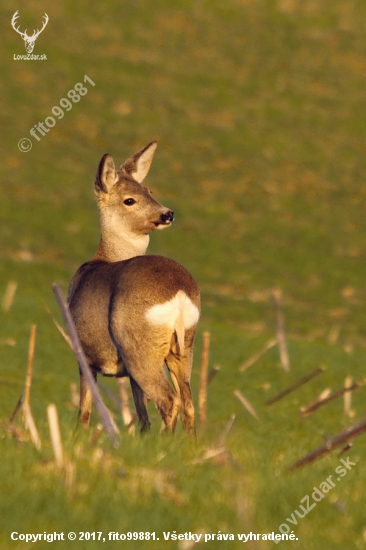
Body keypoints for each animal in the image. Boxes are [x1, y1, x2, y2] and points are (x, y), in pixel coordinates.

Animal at [68, 141, 200, 436]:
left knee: (169, 400)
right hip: (183, 345)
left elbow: (85, 410)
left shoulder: (83, 354)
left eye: (149, 191)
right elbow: (142, 415)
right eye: (131, 198)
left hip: (138, 346)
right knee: (188, 403)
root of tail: (179, 294)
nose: (167, 213)